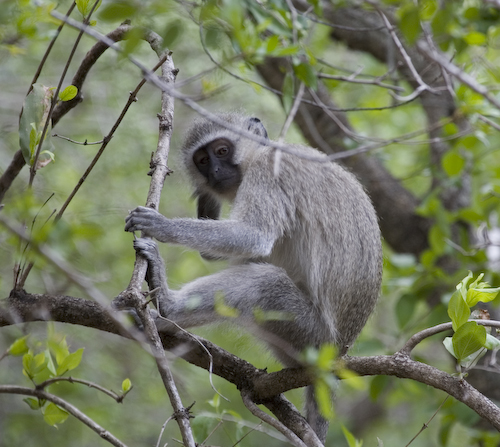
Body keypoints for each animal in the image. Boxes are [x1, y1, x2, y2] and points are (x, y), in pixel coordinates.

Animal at [125, 113, 382, 444]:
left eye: (222, 151)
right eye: (202, 160)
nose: (215, 172)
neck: (258, 153)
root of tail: (338, 354)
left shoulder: (268, 170)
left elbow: (253, 236)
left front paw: (162, 226)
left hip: (310, 336)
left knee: (264, 281)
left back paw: (167, 305)